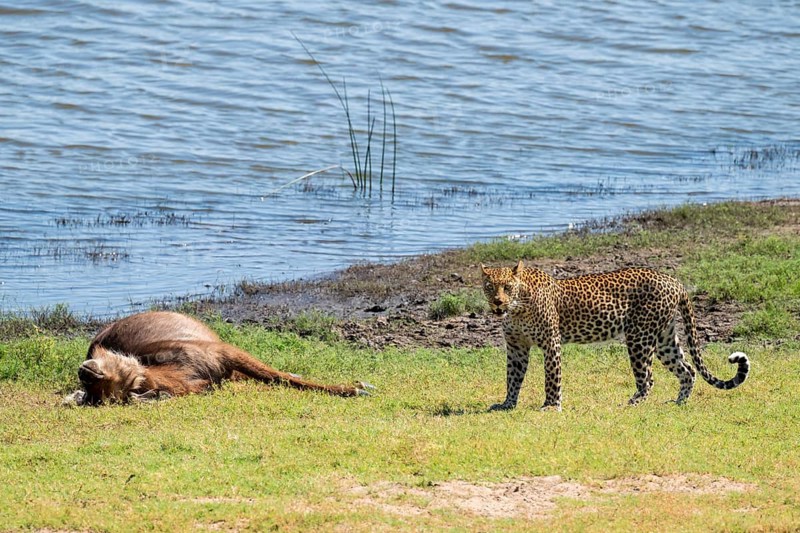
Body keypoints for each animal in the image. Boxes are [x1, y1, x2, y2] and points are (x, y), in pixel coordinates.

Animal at [64, 311, 373, 406]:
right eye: (99, 395)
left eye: (93, 389)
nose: (84, 371)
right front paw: (354, 388)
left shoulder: (226, 351)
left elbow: (276, 374)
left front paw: (355, 387)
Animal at [480, 260, 749, 411]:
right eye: (489, 287)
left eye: (507, 287)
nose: (498, 302)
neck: (517, 308)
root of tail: (674, 281)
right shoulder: (516, 347)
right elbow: (512, 378)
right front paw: (507, 404)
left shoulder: (551, 343)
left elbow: (552, 378)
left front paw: (551, 406)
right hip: (664, 338)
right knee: (688, 370)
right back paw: (678, 403)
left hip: (639, 337)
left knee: (648, 379)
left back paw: (632, 404)